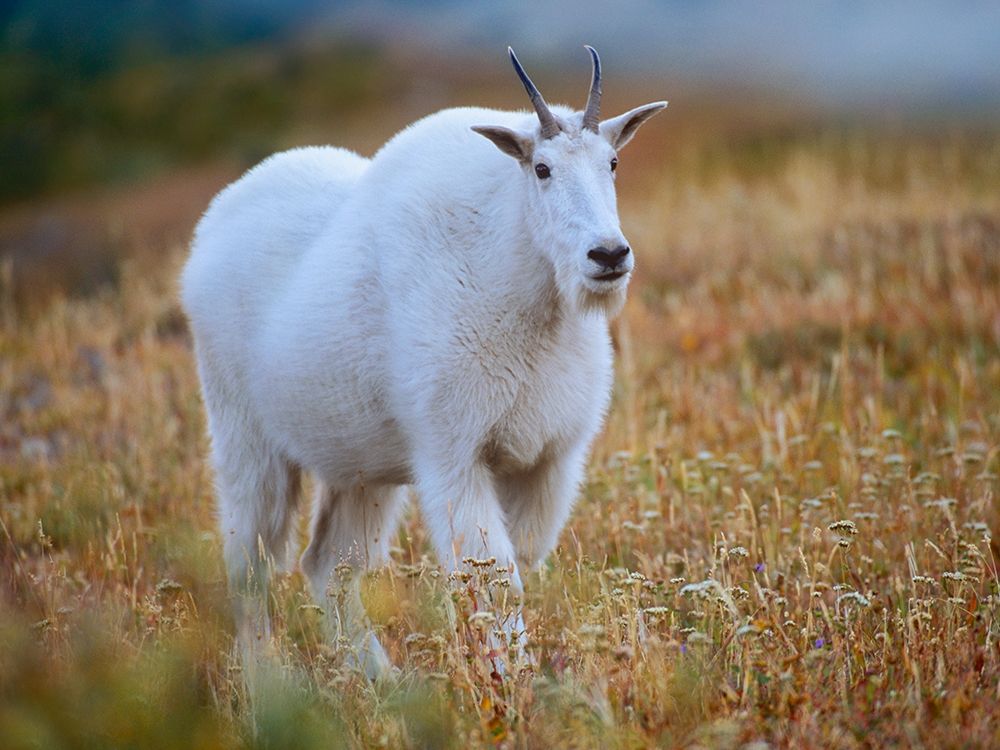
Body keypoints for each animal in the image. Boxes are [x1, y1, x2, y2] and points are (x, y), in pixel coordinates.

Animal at [180, 46, 666, 677]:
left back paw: (381, 680)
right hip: (246, 435)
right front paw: (512, 682)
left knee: (329, 565)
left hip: (361, 468)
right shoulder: (454, 454)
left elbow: (520, 567)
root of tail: (209, 230)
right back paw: (269, 685)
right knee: (250, 568)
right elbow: (495, 578)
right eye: (541, 169)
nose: (608, 255)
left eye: (612, 162)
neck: (528, 295)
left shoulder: (547, 461)